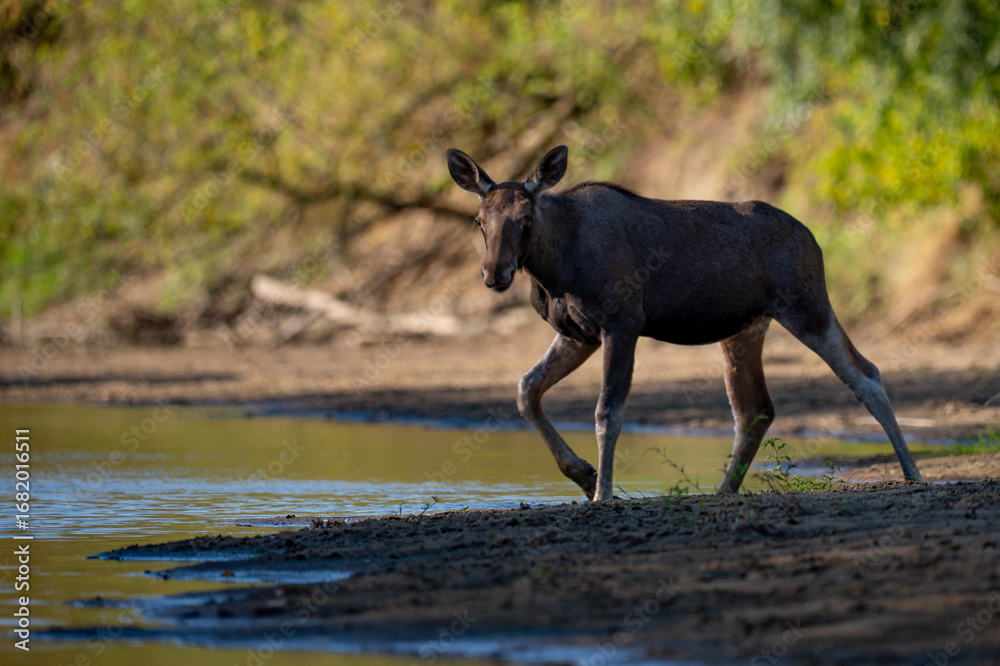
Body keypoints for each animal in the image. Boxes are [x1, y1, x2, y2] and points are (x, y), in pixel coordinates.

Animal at [446, 145, 923, 501]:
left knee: (866, 374)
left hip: (808, 307)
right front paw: (582, 474)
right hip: (745, 329)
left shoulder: (622, 323)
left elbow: (607, 411)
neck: (554, 268)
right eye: (479, 221)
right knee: (755, 409)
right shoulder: (578, 334)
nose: (495, 273)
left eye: (526, 219)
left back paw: (913, 472)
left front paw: (603, 493)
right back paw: (723, 490)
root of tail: (814, 239)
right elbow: (526, 390)